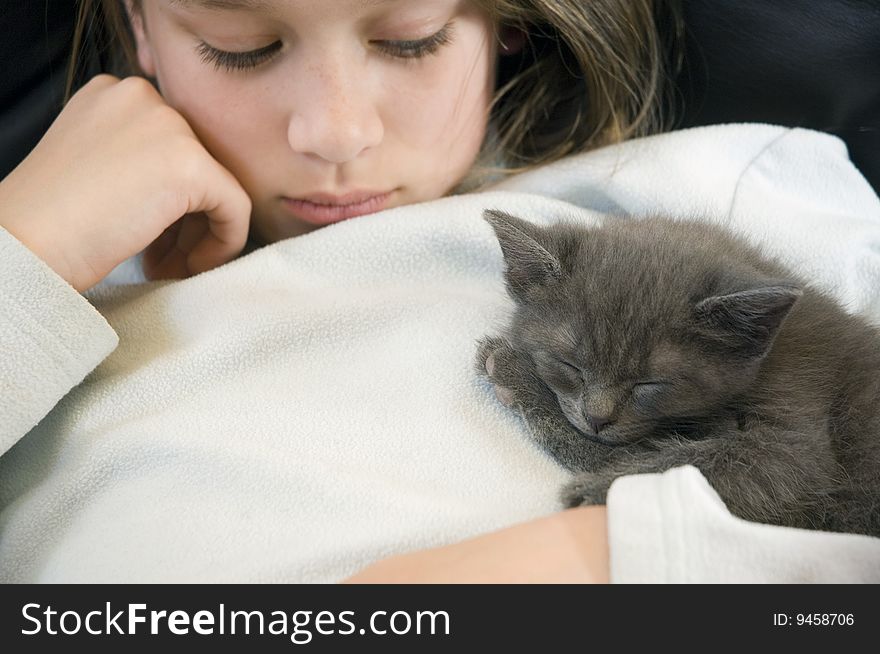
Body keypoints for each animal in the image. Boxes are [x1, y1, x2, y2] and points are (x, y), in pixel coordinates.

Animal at [482, 210, 880, 540]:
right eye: (569, 365)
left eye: (650, 384)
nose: (597, 418)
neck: (769, 358)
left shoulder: (796, 432)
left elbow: (667, 460)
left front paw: (517, 376)